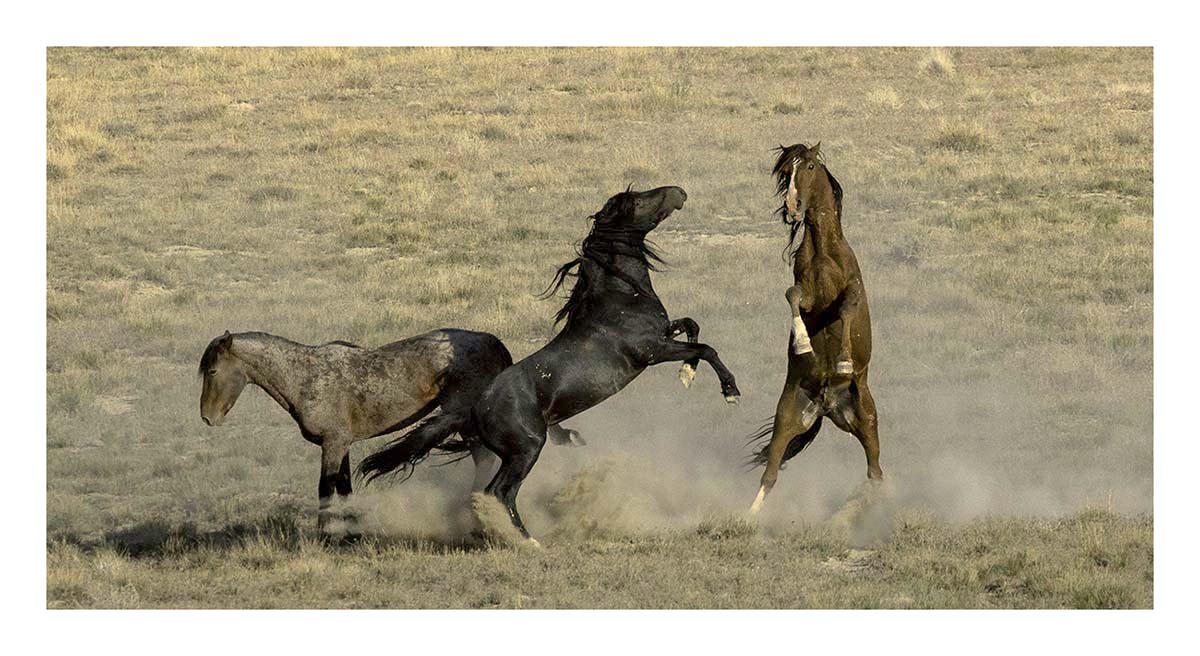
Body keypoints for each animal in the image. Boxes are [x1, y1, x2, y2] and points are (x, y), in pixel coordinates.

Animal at [198, 328, 581, 532]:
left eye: (213, 371)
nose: (207, 418)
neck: (306, 377)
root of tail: (496, 345)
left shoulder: (331, 446)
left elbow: (325, 491)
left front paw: (325, 536)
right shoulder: (342, 445)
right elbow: (345, 489)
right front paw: (351, 533)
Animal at [363, 185, 742, 545]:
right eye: (635, 201)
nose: (678, 191)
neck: (619, 297)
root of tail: (473, 408)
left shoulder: (664, 337)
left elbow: (693, 327)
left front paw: (687, 374)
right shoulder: (651, 351)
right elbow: (707, 348)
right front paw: (730, 391)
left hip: (503, 453)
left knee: (482, 492)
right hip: (526, 450)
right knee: (499, 492)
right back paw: (526, 540)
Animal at [747, 142, 882, 515]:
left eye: (808, 166)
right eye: (784, 172)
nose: (792, 207)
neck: (824, 251)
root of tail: (826, 404)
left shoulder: (850, 291)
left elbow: (847, 310)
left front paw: (844, 361)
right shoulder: (806, 295)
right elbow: (791, 296)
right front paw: (803, 344)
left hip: (866, 421)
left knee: (876, 473)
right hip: (787, 420)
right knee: (770, 474)